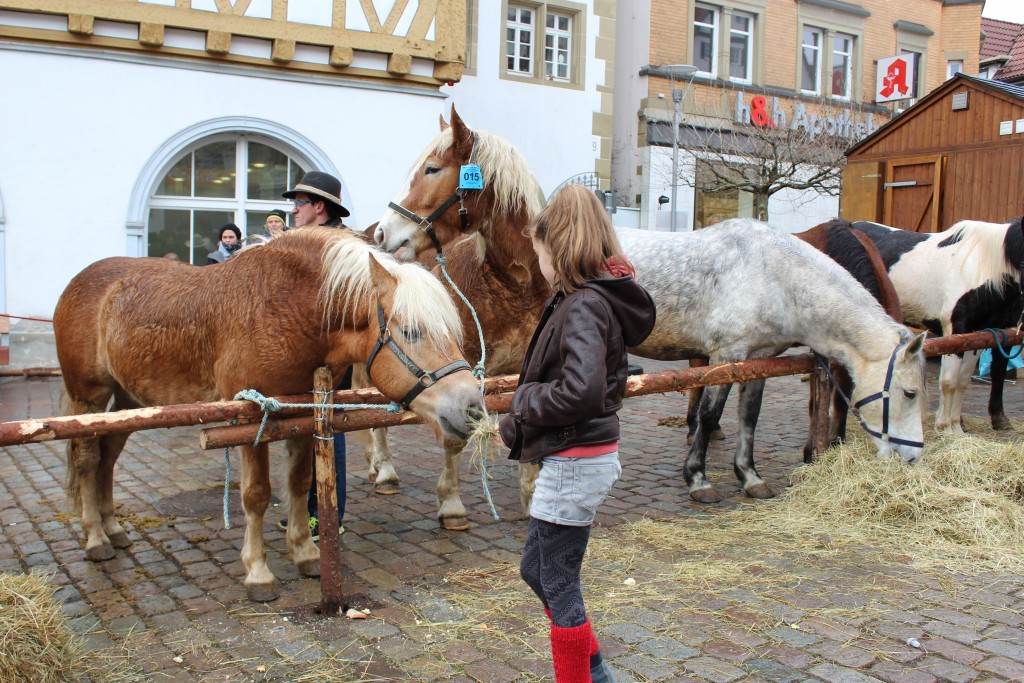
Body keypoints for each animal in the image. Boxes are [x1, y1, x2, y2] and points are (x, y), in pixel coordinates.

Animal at [54, 227, 485, 602]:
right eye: (412, 331)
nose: (472, 408)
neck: (284, 310)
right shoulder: (251, 422)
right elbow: (257, 496)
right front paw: (258, 572)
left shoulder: (301, 418)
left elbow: (298, 484)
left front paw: (305, 553)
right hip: (88, 400)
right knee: (87, 460)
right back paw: (95, 537)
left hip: (128, 401)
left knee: (108, 456)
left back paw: (113, 528)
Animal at [362, 107, 552, 528]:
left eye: (432, 169)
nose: (384, 233)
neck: (514, 286)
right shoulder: (453, 363)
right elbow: (452, 435)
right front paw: (450, 503)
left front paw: (532, 496)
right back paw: (384, 468)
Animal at [614, 222, 929, 505]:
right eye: (910, 393)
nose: (913, 456)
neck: (774, 277)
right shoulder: (725, 356)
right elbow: (710, 415)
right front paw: (698, 480)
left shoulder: (759, 359)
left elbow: (749, 416)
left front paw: (750, 477)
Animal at [847, 219, 1024, 432]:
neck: (984, 266)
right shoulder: (955, 330)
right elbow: (949, 380)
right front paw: (945, 426)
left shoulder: (983, 333)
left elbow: (967, 379)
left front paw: (958, 425)